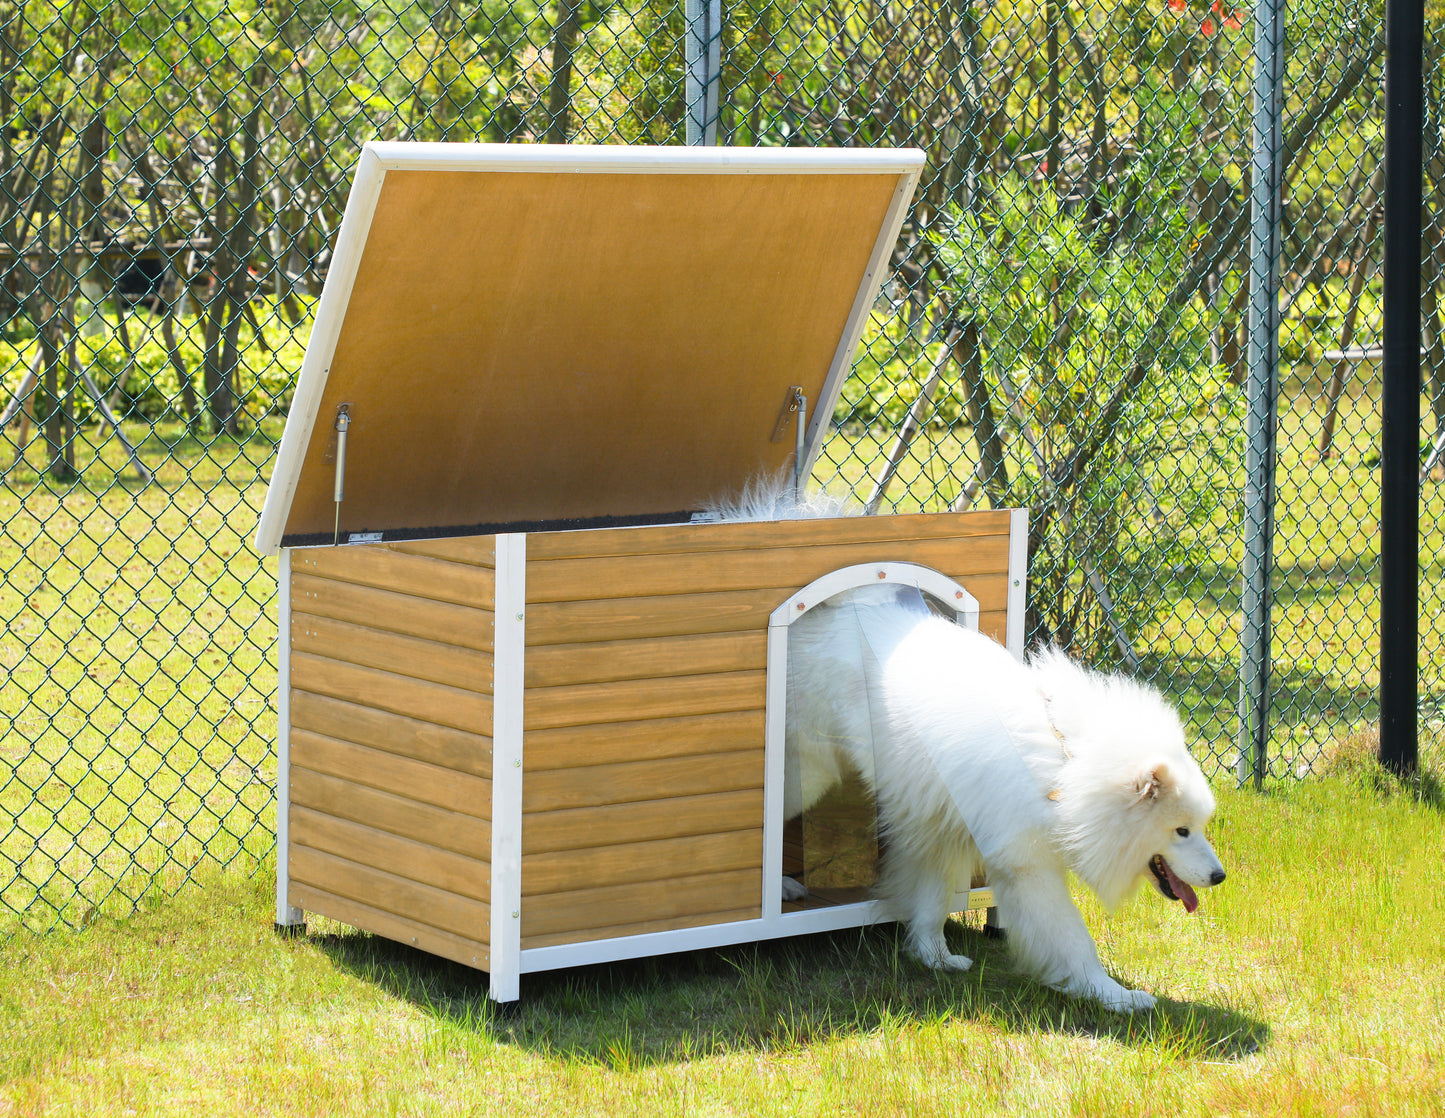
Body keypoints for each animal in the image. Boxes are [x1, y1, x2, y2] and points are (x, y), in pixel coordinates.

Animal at [786, 586, 1225, 1016]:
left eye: (1199, 828)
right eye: (1181, 831)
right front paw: (1112, 995)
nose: (1220, 876)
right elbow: (1073, 938)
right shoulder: (1028, 866)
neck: (1067, 766)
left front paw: (934, 956)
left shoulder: (941, 827)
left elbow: (932, 900)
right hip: (808, 778)